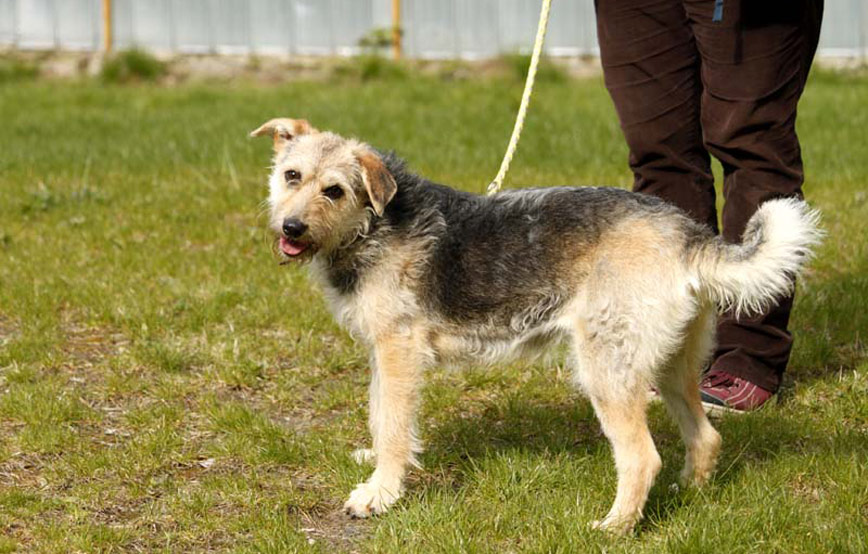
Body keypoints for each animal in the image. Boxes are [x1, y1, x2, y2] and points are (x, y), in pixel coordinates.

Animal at [249, 116, 820, 532]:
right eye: (291, 176)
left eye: (335, 191)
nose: (290, 228)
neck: (375, 223)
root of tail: (689, 235)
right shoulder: (381, 354)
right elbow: (378, 413)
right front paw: (375, 462)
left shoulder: (399, 351)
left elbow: (392, 424)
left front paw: (379, 493)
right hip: (672, 366)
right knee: (705, 437)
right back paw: (690, 494)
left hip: (604, 369)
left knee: (642, 457)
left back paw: (615, 527)